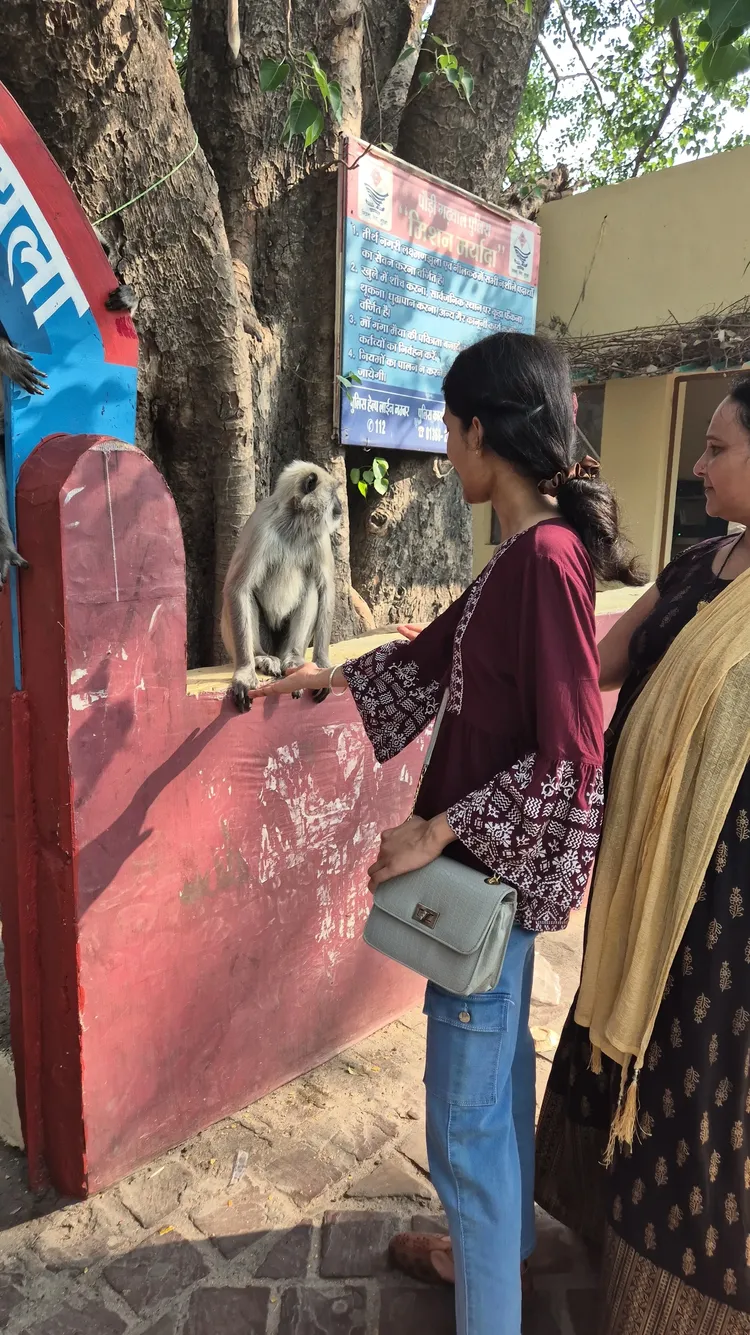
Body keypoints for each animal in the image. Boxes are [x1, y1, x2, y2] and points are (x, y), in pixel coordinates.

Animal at [221, 460, 343, 713]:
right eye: (333, 493)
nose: (340, 505)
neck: (294, 522)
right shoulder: (260, 525)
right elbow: (238, 589)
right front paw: (244, 674)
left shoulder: (319, 537)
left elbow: (326, 589)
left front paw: (322, 664)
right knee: (246, 595)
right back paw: (260, 657)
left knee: (311, 588)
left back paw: (293, 657)